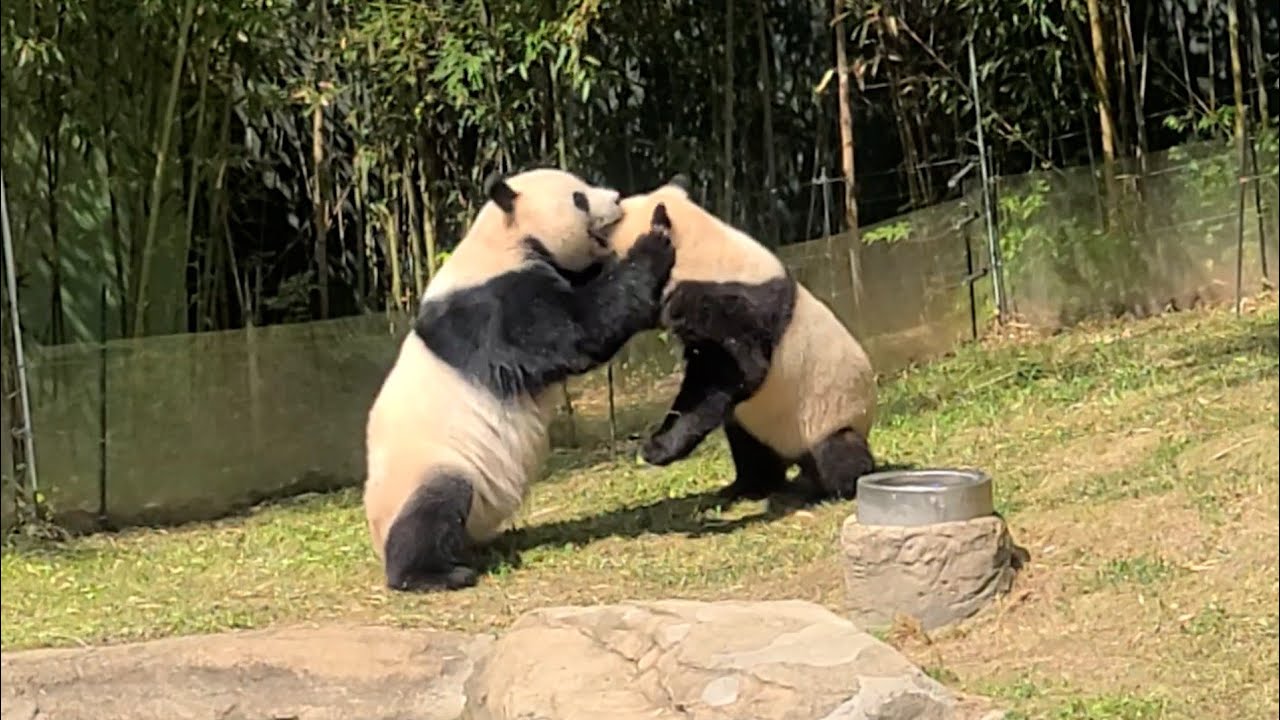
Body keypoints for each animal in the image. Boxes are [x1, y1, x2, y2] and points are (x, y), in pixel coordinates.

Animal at [363, 167, 675, 592]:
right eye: (579, 197)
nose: (615, 198)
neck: (504, 239)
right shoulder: (496, 305)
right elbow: (580, 330)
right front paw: (656, 238)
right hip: (425, 466)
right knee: (432, 507)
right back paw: (432, 573)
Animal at [603, 176, 878, 504]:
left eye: (610, 223)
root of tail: (794, 457)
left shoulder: (735, 305)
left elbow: (733, 369)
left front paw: (656, 447)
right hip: (756, 425)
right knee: (751, 451)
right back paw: (747, 487)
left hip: (828, 416)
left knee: (838, 453)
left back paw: (837, 487)